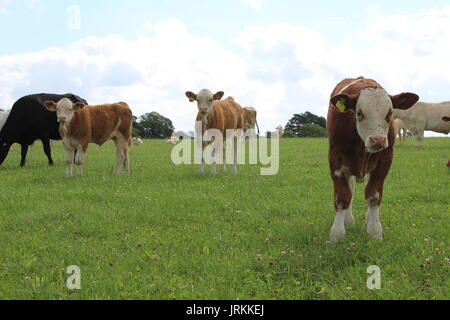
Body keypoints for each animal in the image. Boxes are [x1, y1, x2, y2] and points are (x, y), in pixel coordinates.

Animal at [326, 77, 418, 241]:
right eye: (359, 113)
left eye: (389, 113)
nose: (378, 140)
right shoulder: (335, 160)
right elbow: (343, 197)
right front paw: (337, 233)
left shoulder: (384, 161)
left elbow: (373, 195)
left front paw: (375, 231)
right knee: (350, 189)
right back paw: (348, 219)